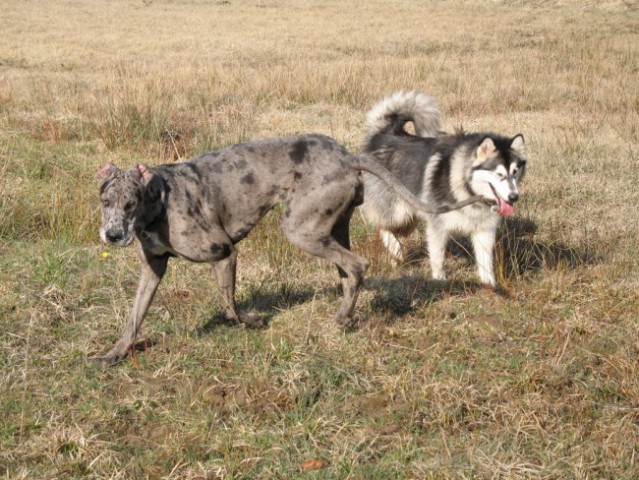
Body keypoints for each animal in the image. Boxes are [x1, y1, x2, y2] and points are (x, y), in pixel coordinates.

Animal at [95, 133, 480, 366]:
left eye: (131, 203)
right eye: (105, 201)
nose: (113, 235)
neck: (160, 198)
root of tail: (347, 156)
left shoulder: (223, 253)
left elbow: (229, 305)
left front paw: (250, 322)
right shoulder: (152, 268)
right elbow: (134, 316)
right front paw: (115, 353)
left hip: (299, 228)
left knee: (357, 265)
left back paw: (341, 319)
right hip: (330, 226)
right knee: (347, 272)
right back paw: (346, 313)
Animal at [362, 92, 528, 286]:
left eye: (515, 172)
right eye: (499, 174)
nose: (514, 197)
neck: (468, 189)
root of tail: (385, 133)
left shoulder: (484, 229)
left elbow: (485, 261)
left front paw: (490, 285)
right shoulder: (437, 226)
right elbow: (438, 257)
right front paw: (440, 279)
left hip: (411, 214)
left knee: (399, 231)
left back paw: (395, 257)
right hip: (398, 211)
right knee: (384, 226)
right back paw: (396, 250)